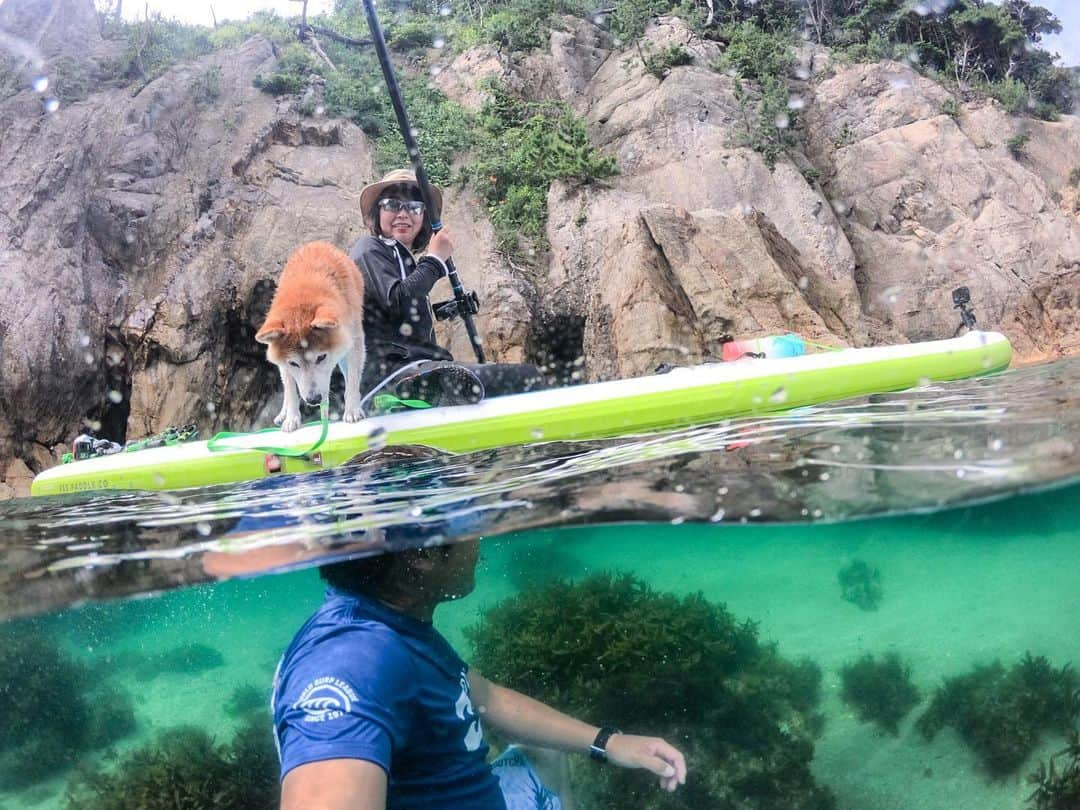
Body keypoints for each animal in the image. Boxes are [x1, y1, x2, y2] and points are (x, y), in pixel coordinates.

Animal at [257, 240, 367, 432]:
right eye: (294, 363)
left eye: (321, 357)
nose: (313, 399)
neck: (304, 292)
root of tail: (317, 243)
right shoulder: (286, 366)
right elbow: (291, 391)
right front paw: (291, 419)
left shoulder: (355, 343)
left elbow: (352, 381)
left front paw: (352, 410)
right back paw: (284, 413)